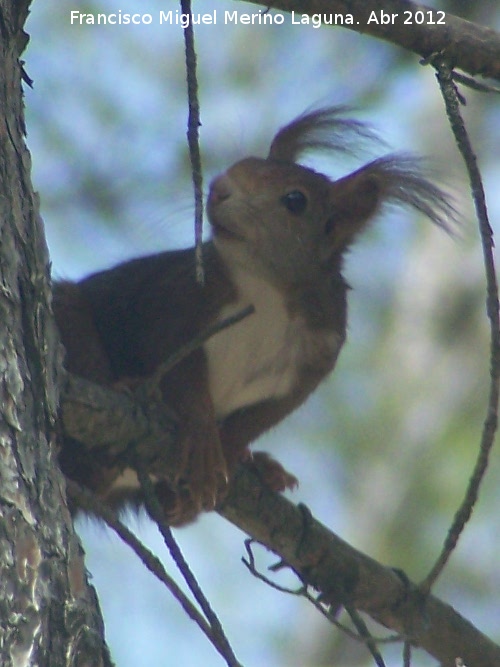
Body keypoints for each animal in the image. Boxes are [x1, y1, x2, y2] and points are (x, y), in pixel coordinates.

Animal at [52, 107, 456, 528]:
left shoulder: (318, 352)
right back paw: (126, 393)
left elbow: (266, 415)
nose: (218, 188)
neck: (266, 289)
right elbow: (177, 366)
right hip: (71, 318)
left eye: (295, 200)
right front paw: (203, 437)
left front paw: (232, 447)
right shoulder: (179, 299)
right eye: (243, 163)